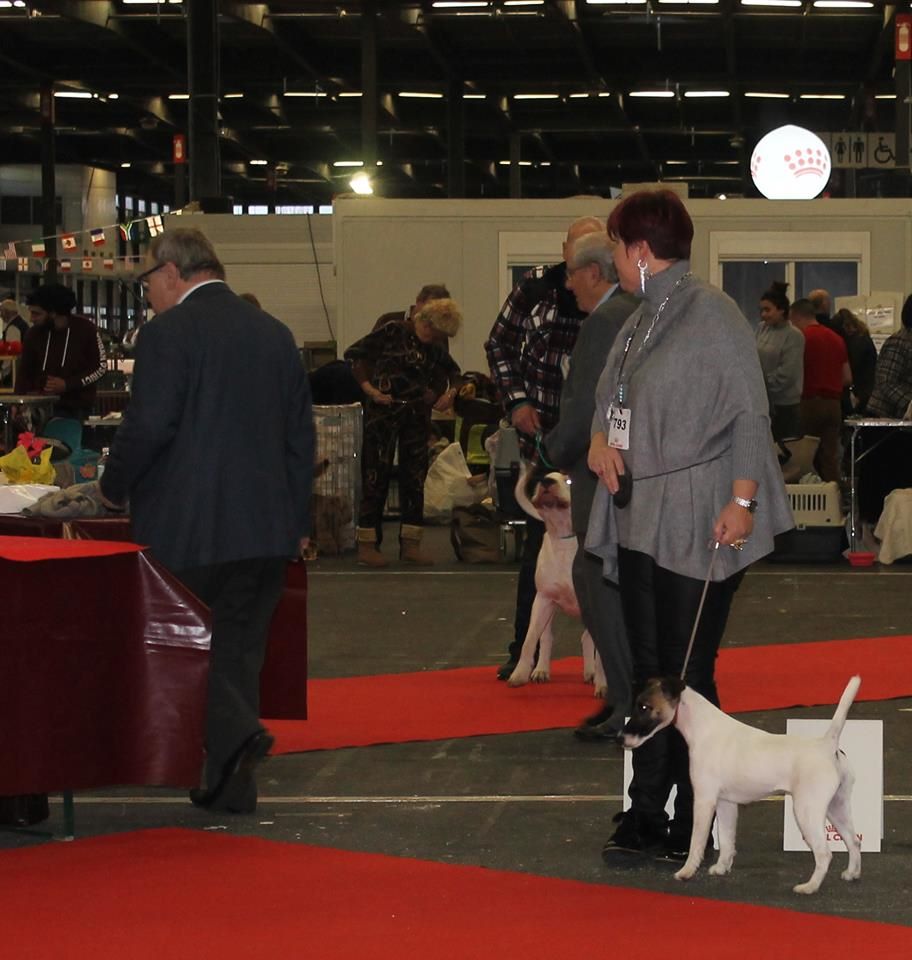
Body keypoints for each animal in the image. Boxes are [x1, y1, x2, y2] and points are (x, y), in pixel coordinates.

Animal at [507, 466, 606, 694]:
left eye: (569, 480)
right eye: (545, 476)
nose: (546, 481)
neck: (566, 539)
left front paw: (603, 685)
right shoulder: (543, 599)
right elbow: (529, 639)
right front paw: (519, 673)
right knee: (547, 637)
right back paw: (542, 670)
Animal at [621, 674, 862, 895]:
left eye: (644, 707)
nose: (620, 738)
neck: (704, 729)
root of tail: (827, 745)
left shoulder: (704, 800)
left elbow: (696, 841)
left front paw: (686, 871)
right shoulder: (725, 803)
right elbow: (727, 840)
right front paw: (721, 867)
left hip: (807, 811)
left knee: (824, 853)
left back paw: (809, 887)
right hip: (836, 808)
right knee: (854, 841)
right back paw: (852, 874)